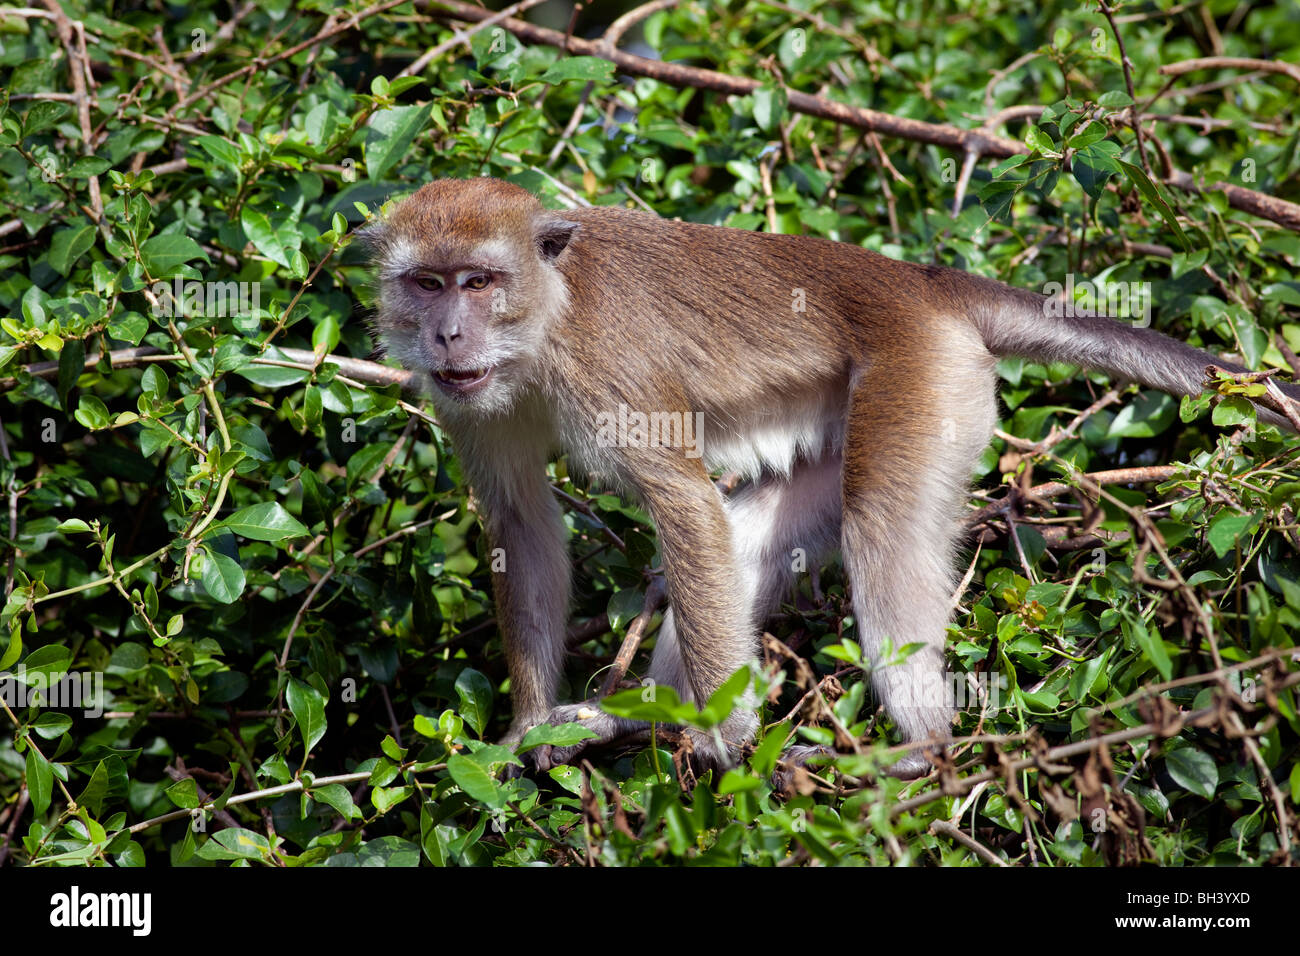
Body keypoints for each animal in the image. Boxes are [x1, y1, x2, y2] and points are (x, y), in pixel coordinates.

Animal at [364, 178, 1300, 780]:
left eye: (480, 281)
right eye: (428, 283)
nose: (449, 334)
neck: (542, 326)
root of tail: (921, 281)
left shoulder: (606, 369)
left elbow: (682, 503)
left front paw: (728, 738)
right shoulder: (467, 401)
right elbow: (522, 527)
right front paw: (524, 731)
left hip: (925, 379)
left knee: (878, 523)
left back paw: (921, 746)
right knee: (755, 531)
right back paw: (636, 716)